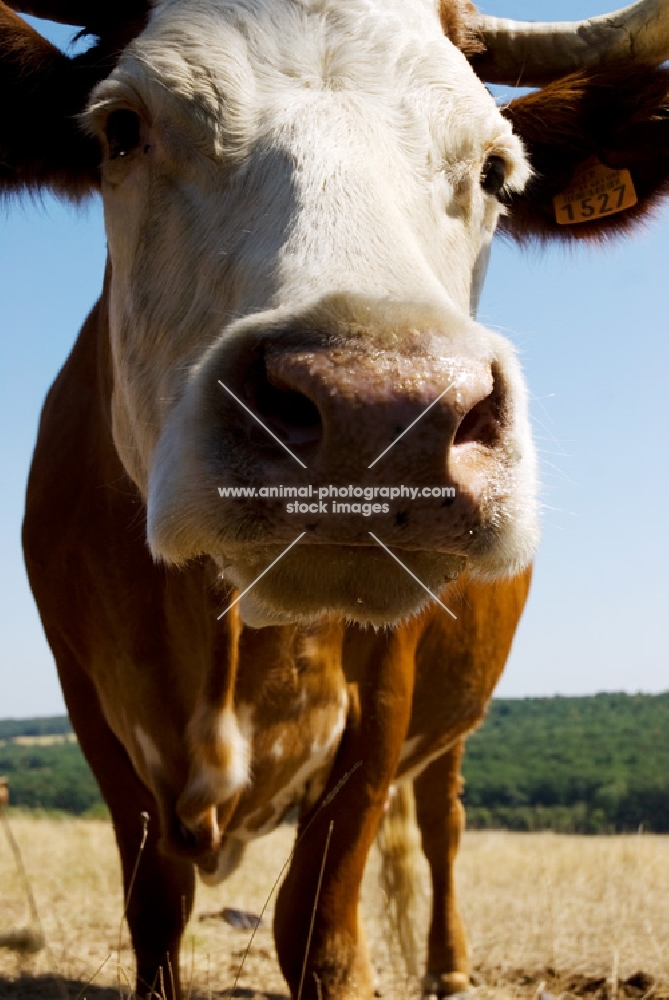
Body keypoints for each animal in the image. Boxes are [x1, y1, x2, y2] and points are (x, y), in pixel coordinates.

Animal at [5, 0, 668, 996]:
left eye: (495, 170)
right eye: (122, 128)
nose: (378, 409)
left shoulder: (382, 705)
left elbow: (319, 929)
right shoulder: (88, 700)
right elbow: (155, 905)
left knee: (440, 820)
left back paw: (447, 968)